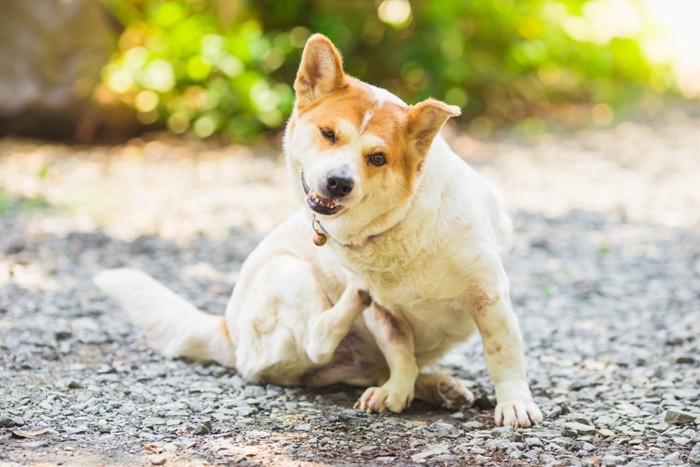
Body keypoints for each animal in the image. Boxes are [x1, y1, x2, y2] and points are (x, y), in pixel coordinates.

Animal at [94, 33, 540, 428]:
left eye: (378, 158)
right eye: (328, 134)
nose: (338, 182)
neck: (400, 223)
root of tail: (227, 331)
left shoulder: (489, 297)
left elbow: (502, 354)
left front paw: (514, 404)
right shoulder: (384, 315)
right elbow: (399, 353)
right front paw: (397, 391)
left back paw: (436, 386)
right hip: (289, 273)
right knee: (319, 340)